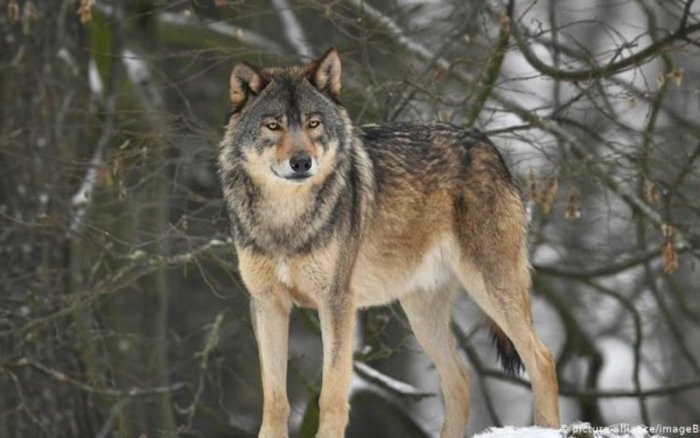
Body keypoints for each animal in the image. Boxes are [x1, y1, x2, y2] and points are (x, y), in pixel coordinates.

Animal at [217, 48, 556, 438]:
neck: (285, 221)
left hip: (491, 289)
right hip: (422, 313)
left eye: (313, 124)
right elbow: (274, 400)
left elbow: (332, 395)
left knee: (542, 359)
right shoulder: (266, 303)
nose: (302, 162)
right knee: (459, 378)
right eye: (273, 126)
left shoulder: (337, 303)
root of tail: (488, 144)